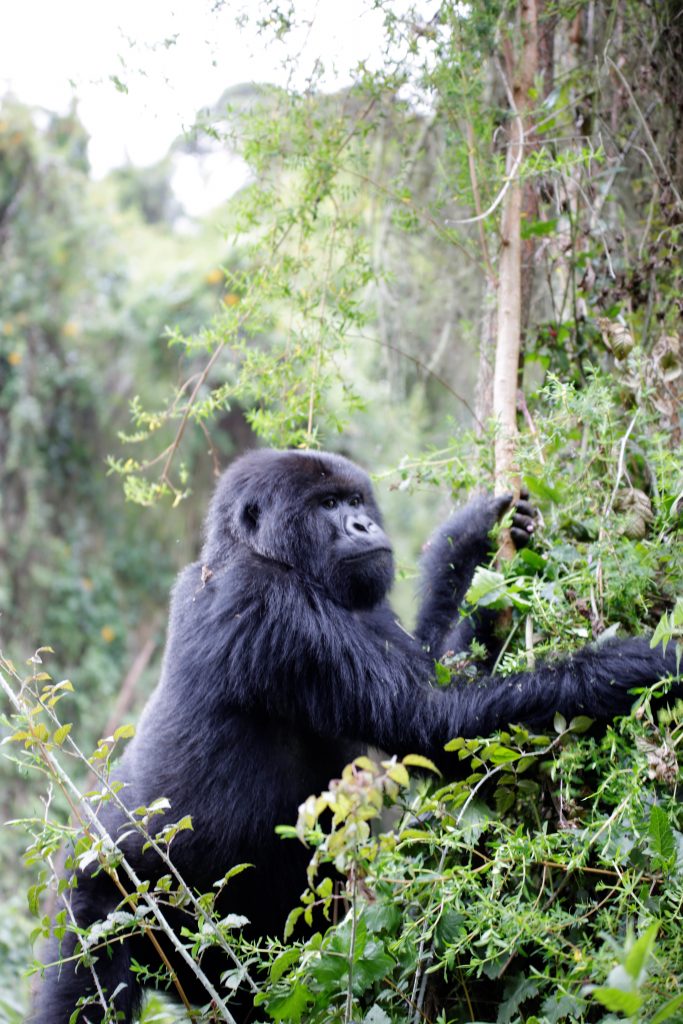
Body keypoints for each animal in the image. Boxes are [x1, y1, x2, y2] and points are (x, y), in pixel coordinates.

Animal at [33, 448, 683, 1024]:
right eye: (326, 505)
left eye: (353, 500)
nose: (363, 524)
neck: (251, 551)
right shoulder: (270, 602)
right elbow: (433, 720)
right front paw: (633, 667)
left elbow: (440, 693)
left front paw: (470, 536)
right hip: (96, 903)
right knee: (84, 993)